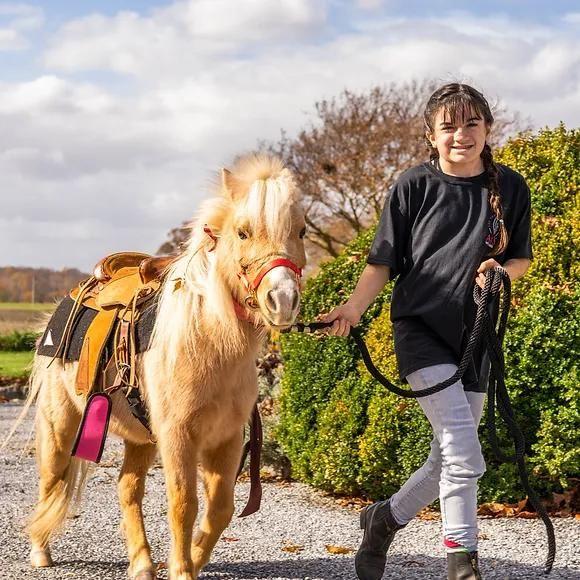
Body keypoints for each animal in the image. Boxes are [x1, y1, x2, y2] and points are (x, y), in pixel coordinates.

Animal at [22, 155, 304, 580]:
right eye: (242, 232)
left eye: (301, 230)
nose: (282, 299)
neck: (208, 342)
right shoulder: (178, 436)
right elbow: (183, 505)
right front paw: (182, 569)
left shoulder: (225, 439)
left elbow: (220, 509)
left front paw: (193, 559)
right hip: (61, 427)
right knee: (51, 481)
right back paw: (41, 551)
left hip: (141, 439)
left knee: (127, 487)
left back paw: (142, 563)